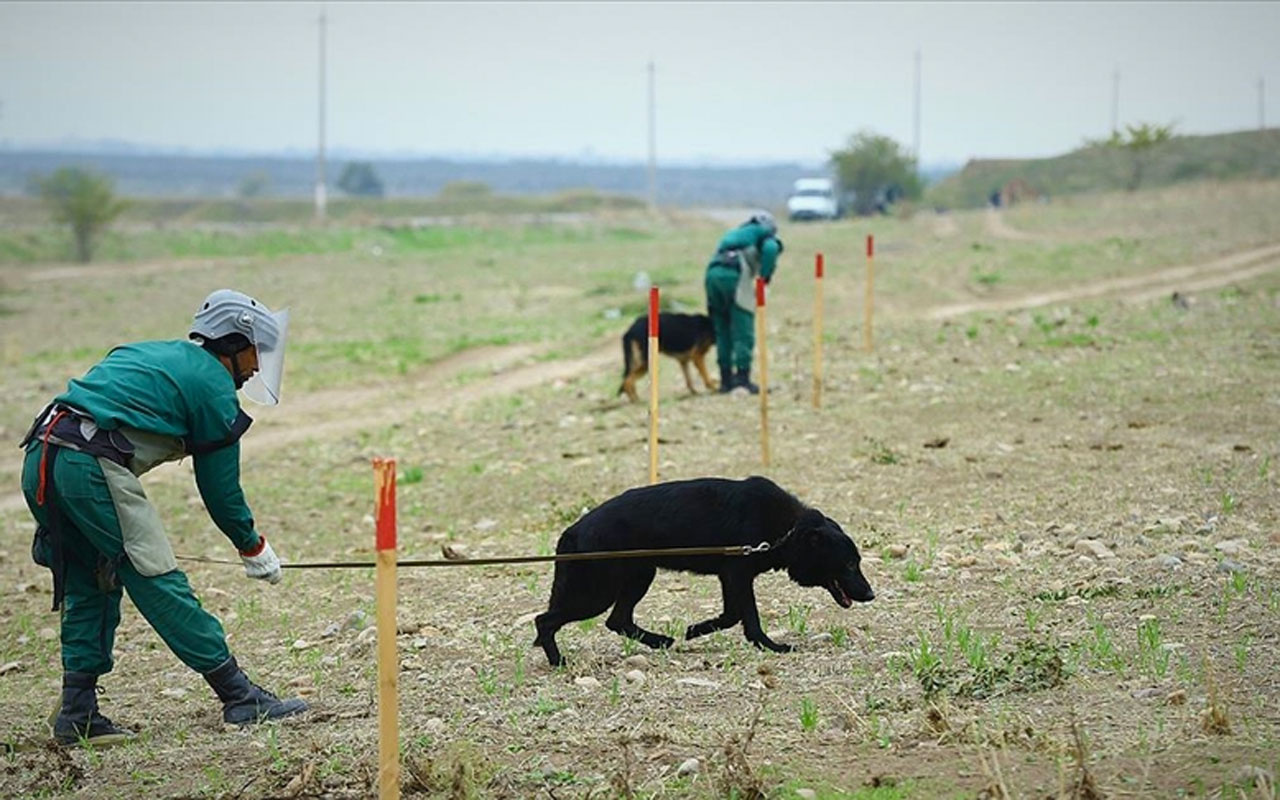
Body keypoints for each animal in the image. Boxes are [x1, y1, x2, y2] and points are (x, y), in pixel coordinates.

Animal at [529, 476, 870, 665]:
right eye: (849, 564)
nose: (871, 594)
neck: (788, 530)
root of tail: (572, 532)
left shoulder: (730, 577)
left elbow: (732, 615)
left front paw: (695, 630)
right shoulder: (738, 575)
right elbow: (747, 617)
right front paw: (769, 645)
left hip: (639, 577)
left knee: (618, 620)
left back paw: (660, 642)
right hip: (597, 593)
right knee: (545, 620)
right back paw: (558, 661)